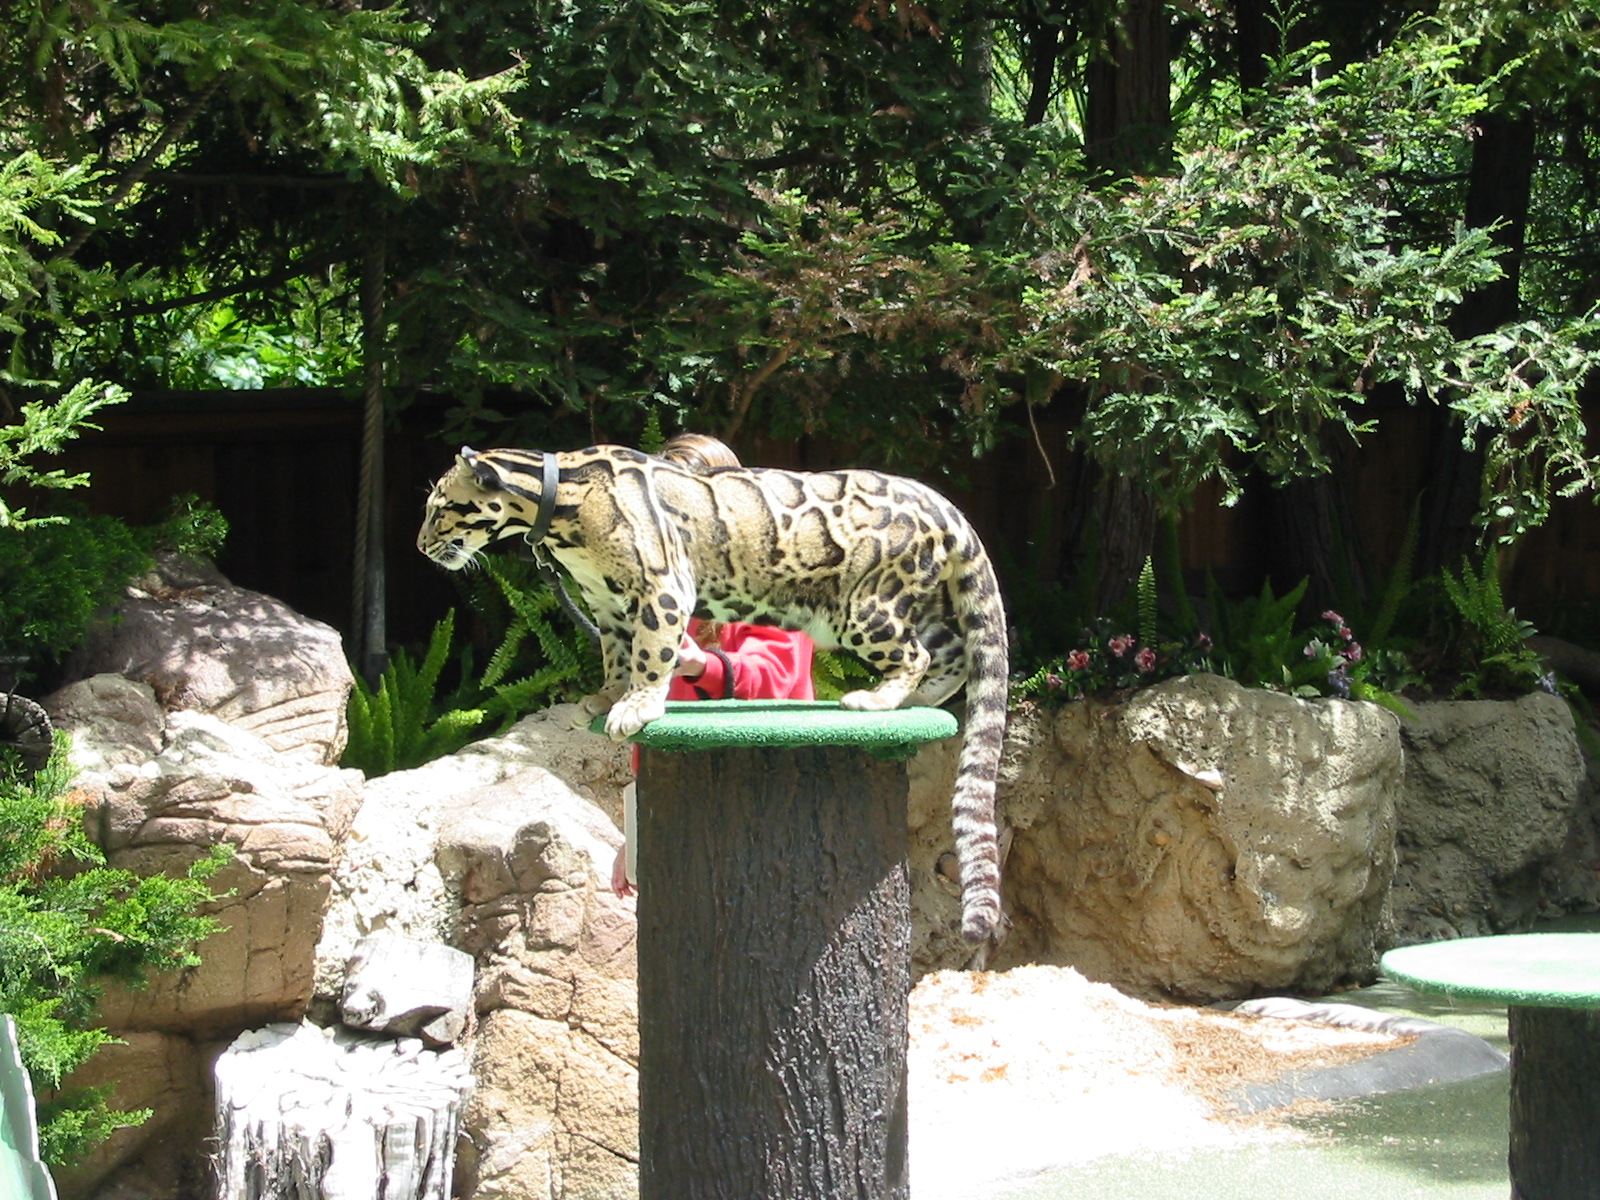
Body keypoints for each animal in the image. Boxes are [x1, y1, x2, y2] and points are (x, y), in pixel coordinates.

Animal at [417, 444, 1008, 942]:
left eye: (439, 507)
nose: (421, 546)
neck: (558, 508)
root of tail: (941, 502)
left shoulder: (661, 585)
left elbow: (649, 653)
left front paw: (636, 706)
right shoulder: (607, 606)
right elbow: (615, 654)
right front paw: (606, 697)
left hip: (866, 605)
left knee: (919, 654)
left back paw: (879, 700)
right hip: (912, 606)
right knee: (954, 652)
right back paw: (918, 701)